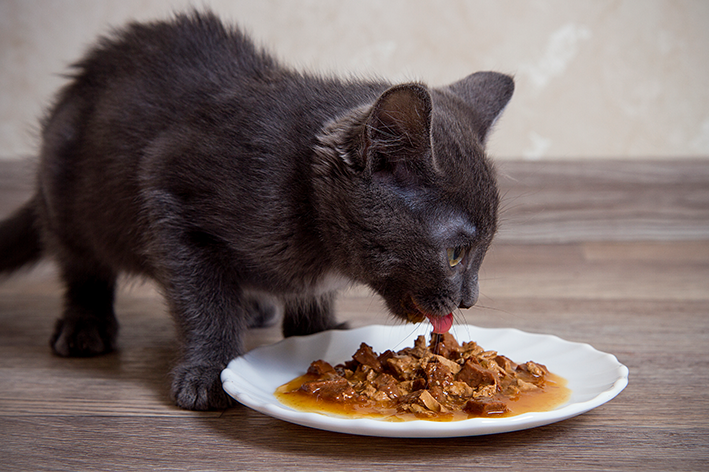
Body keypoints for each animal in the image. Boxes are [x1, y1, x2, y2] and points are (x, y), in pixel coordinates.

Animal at [0, 11, 508, 410]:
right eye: (456, 255)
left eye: (485, 250)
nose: (470, 299)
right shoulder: (170, 195)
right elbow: (202, 302)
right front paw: (208, 375)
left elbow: (309, 299)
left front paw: (318, 329)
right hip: (67, 197)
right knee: (82, 266)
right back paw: (85, 325)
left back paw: (254, 305)